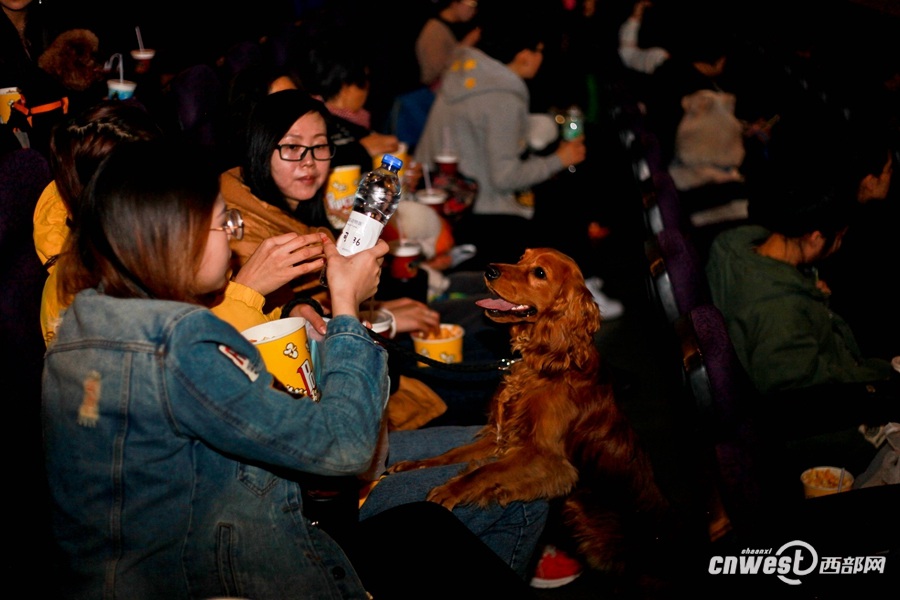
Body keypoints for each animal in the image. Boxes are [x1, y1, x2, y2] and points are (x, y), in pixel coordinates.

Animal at [390, 247, 672, 576]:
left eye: (539, 273)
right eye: (521, 257)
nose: (489, 269)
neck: (548, 365)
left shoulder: (550, 460)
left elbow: (484, 471)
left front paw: (451, 489)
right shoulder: (502, 437)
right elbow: (451, 454)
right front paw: (415, 465)